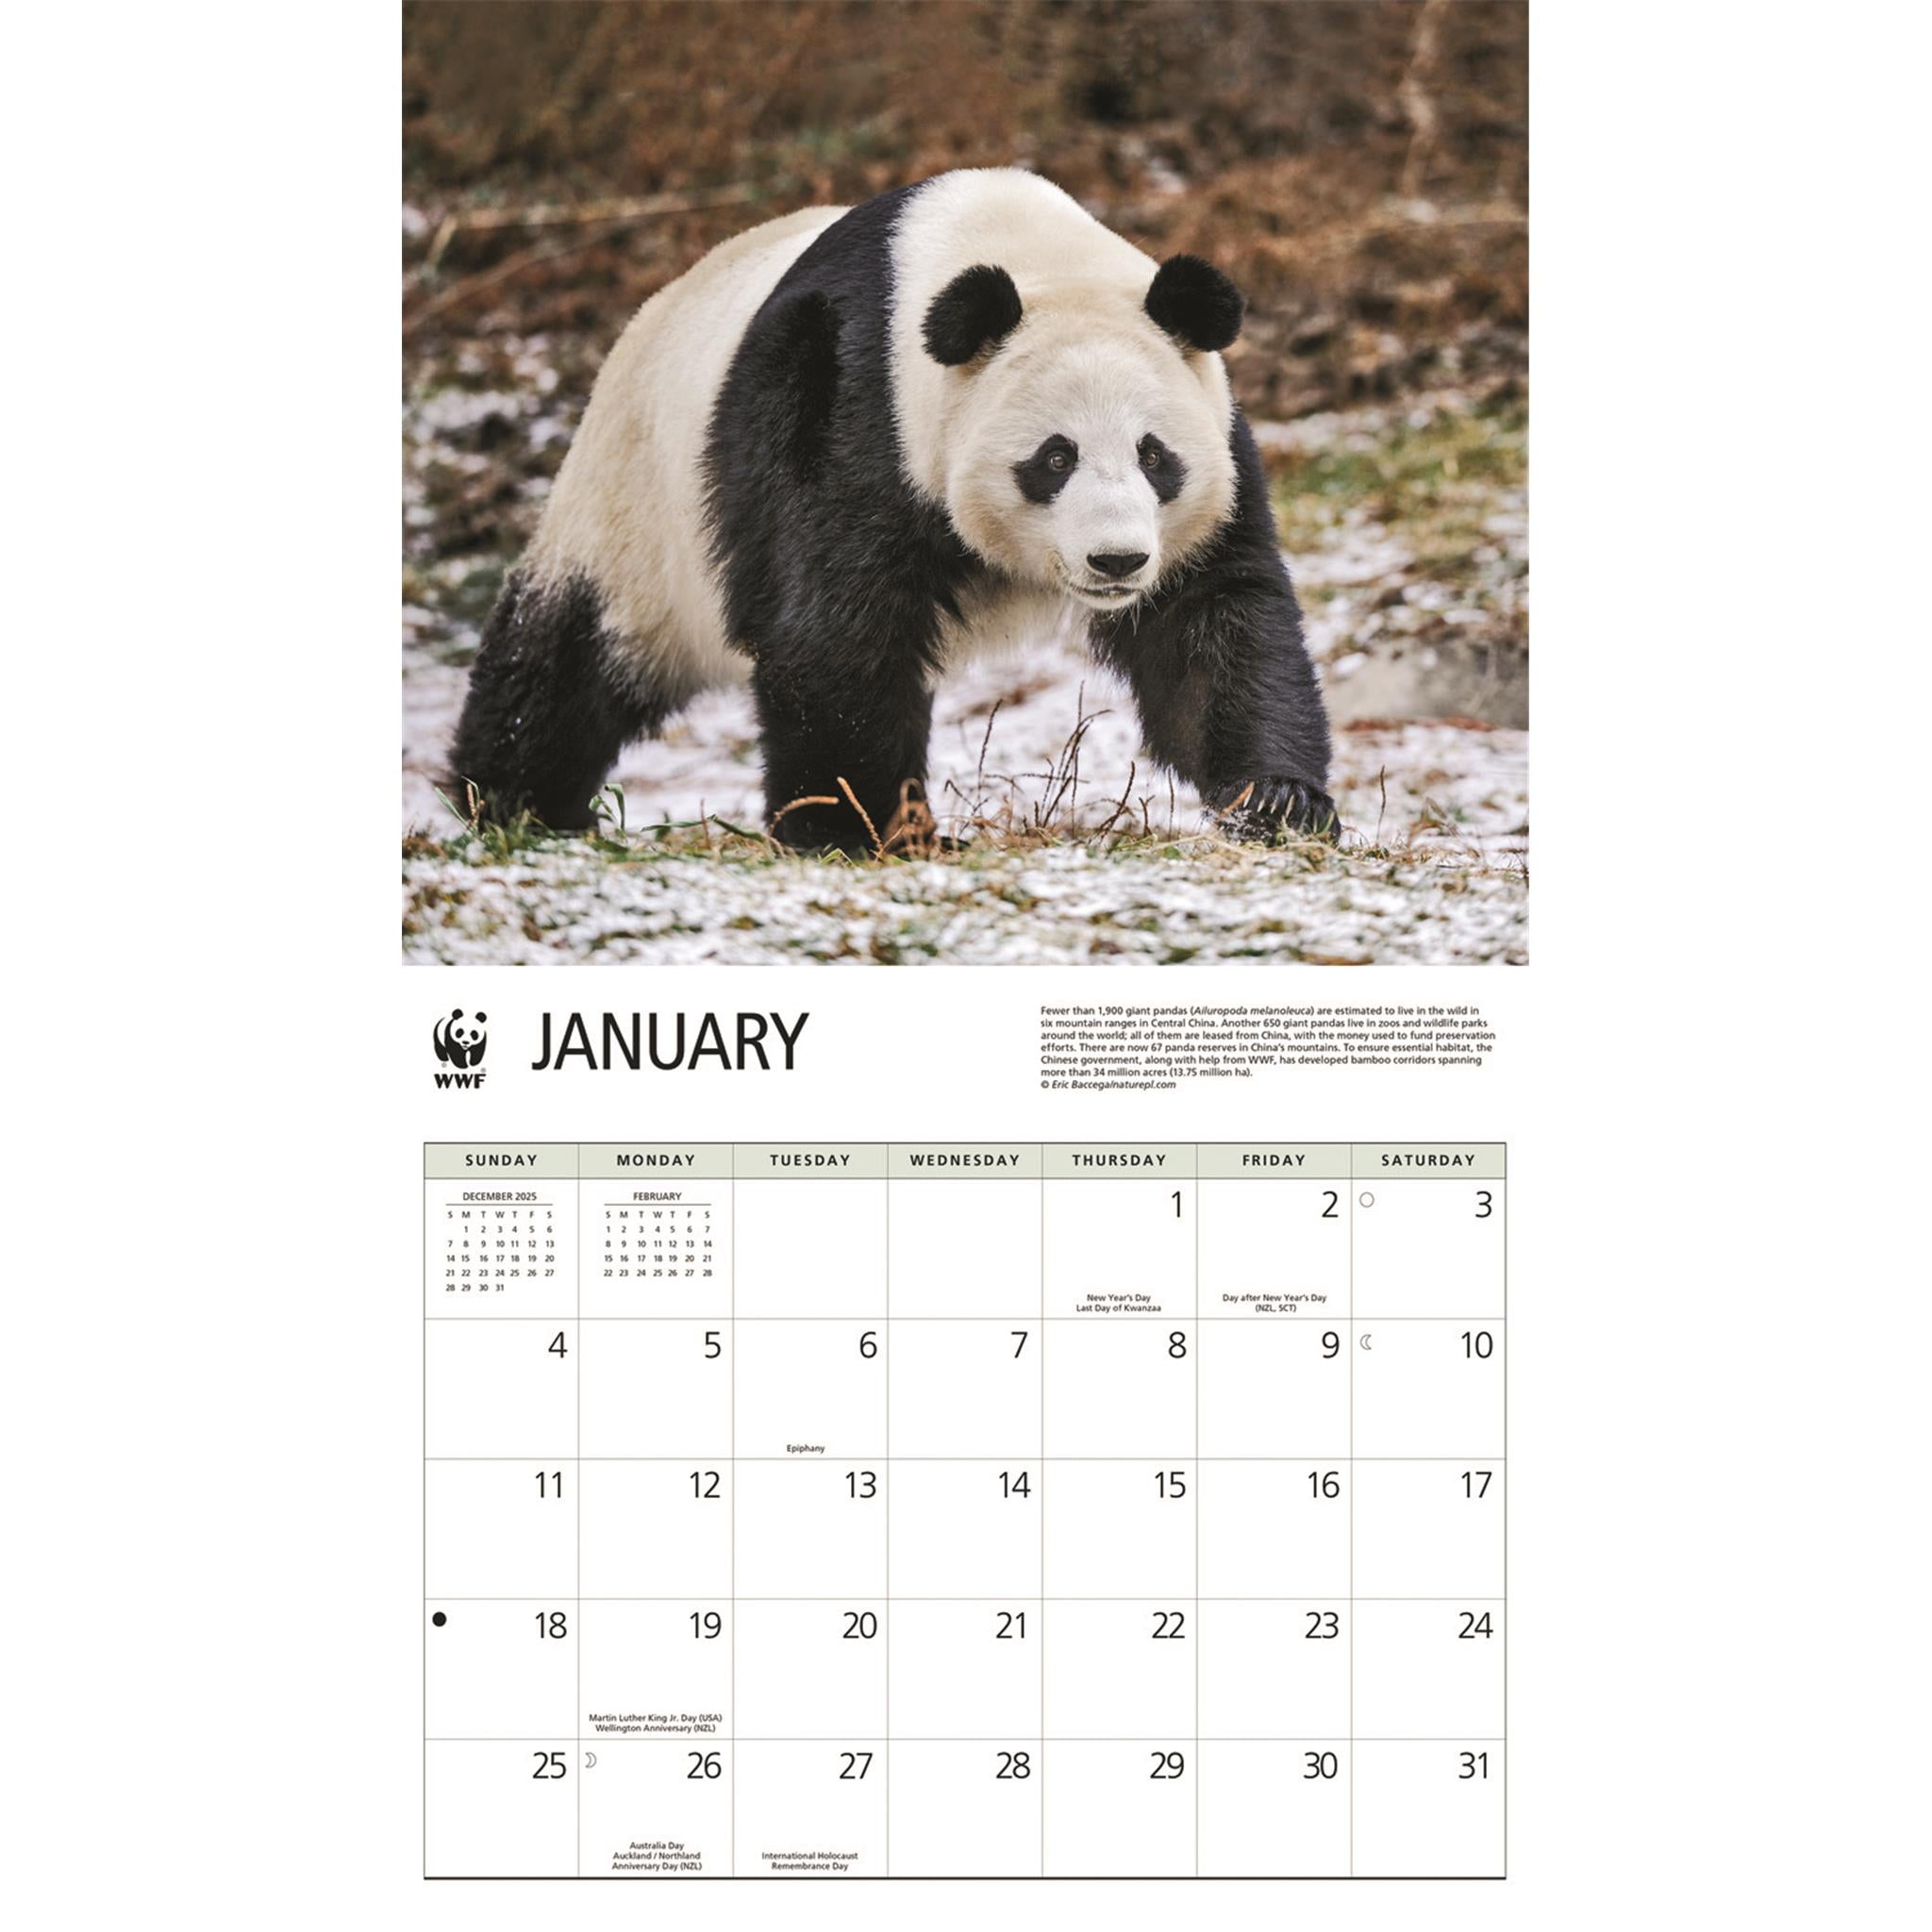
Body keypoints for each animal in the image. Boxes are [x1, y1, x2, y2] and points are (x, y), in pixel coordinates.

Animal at [451, 168, 1335, 852]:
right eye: (1055, 459)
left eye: (1155, 456)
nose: (1116, 561)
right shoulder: (847, 406)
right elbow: (839, 626)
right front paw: (852, 828)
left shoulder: (1216, 449)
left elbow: (1211, 623)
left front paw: (1278, 801)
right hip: (635, 508)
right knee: (567, 660)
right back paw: (507, 803)